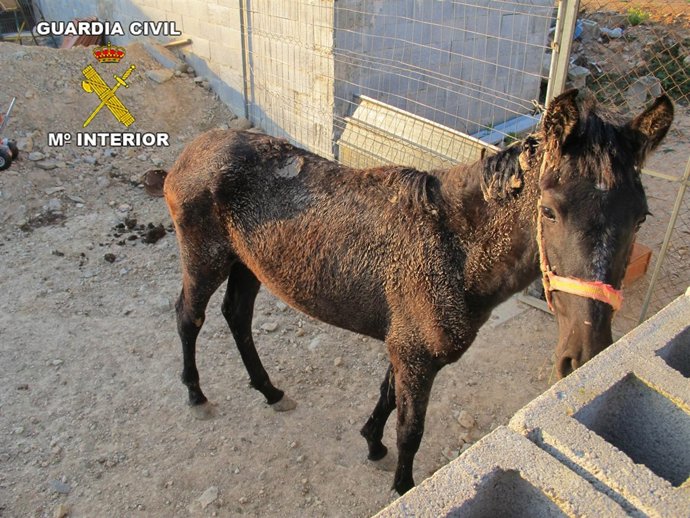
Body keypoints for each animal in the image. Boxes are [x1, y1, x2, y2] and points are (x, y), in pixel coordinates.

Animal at [161, 89, 673, 494]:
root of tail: (193, 151)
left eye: (640, 217)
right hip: (206, 258)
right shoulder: (416, 355)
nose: (583, 354)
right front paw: (402, 486)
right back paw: (196, 395)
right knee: (190, 316)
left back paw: (270, 391)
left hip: (248, 264)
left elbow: (388, 396)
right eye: (549, 210)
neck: (456, 249)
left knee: (237, 316)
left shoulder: (405, 345)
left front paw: (371, 441)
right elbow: (411, 429)